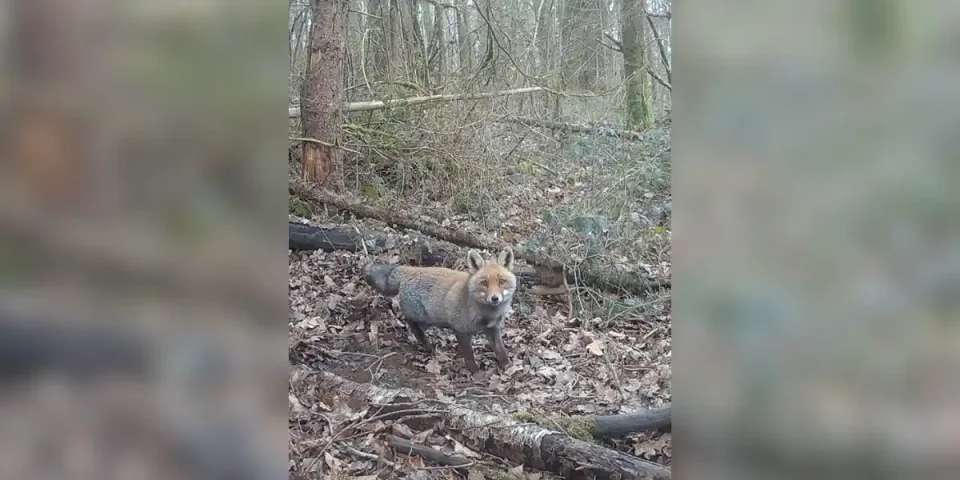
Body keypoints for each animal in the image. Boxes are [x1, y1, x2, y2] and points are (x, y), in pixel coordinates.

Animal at [363, 248, 517, 374]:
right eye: (484, 283)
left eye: (501, 282)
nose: (495, 298)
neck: (487, 314)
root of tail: (411, 269)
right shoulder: (460, 330)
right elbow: (469, 356)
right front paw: (476, 373)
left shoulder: (492, 329)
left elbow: (501, 350)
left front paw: (508, 367)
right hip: (422, 316)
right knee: (410, 322)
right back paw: (426, 344)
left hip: (429, 321)